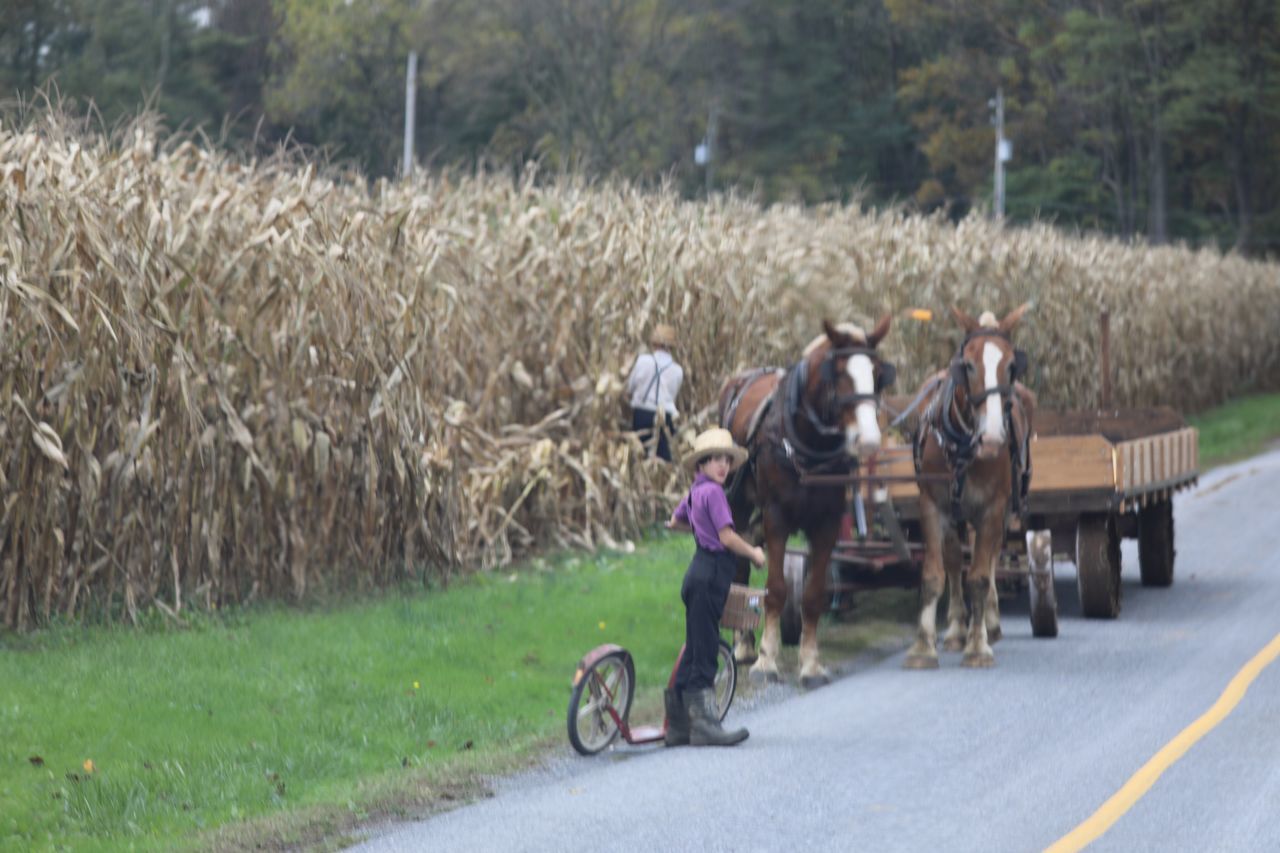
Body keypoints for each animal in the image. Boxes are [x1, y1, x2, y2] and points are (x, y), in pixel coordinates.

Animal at [716, 317, 896, 686]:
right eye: (838, 374)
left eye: (876, 373)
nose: (869, 439)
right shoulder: (776, 516)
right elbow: (776, 589)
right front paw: (767, 661)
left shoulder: (827, 521)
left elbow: (814, 595)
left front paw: (811, 663)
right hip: (737, 503)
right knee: (739, 564)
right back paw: (744, 645)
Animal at [906, 302, 1034, 666]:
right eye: (967, 365)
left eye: (1012, 366)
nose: (991, 438)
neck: (964, 445)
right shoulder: (932, 506)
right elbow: (934, 574)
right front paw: (924, 647)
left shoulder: (992, 509)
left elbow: (978, 576)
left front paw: (978, 646)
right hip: (956, 513)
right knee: (953, 560)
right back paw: (955, 630)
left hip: (1000, 512)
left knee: (989, 561)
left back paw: (988, 624)